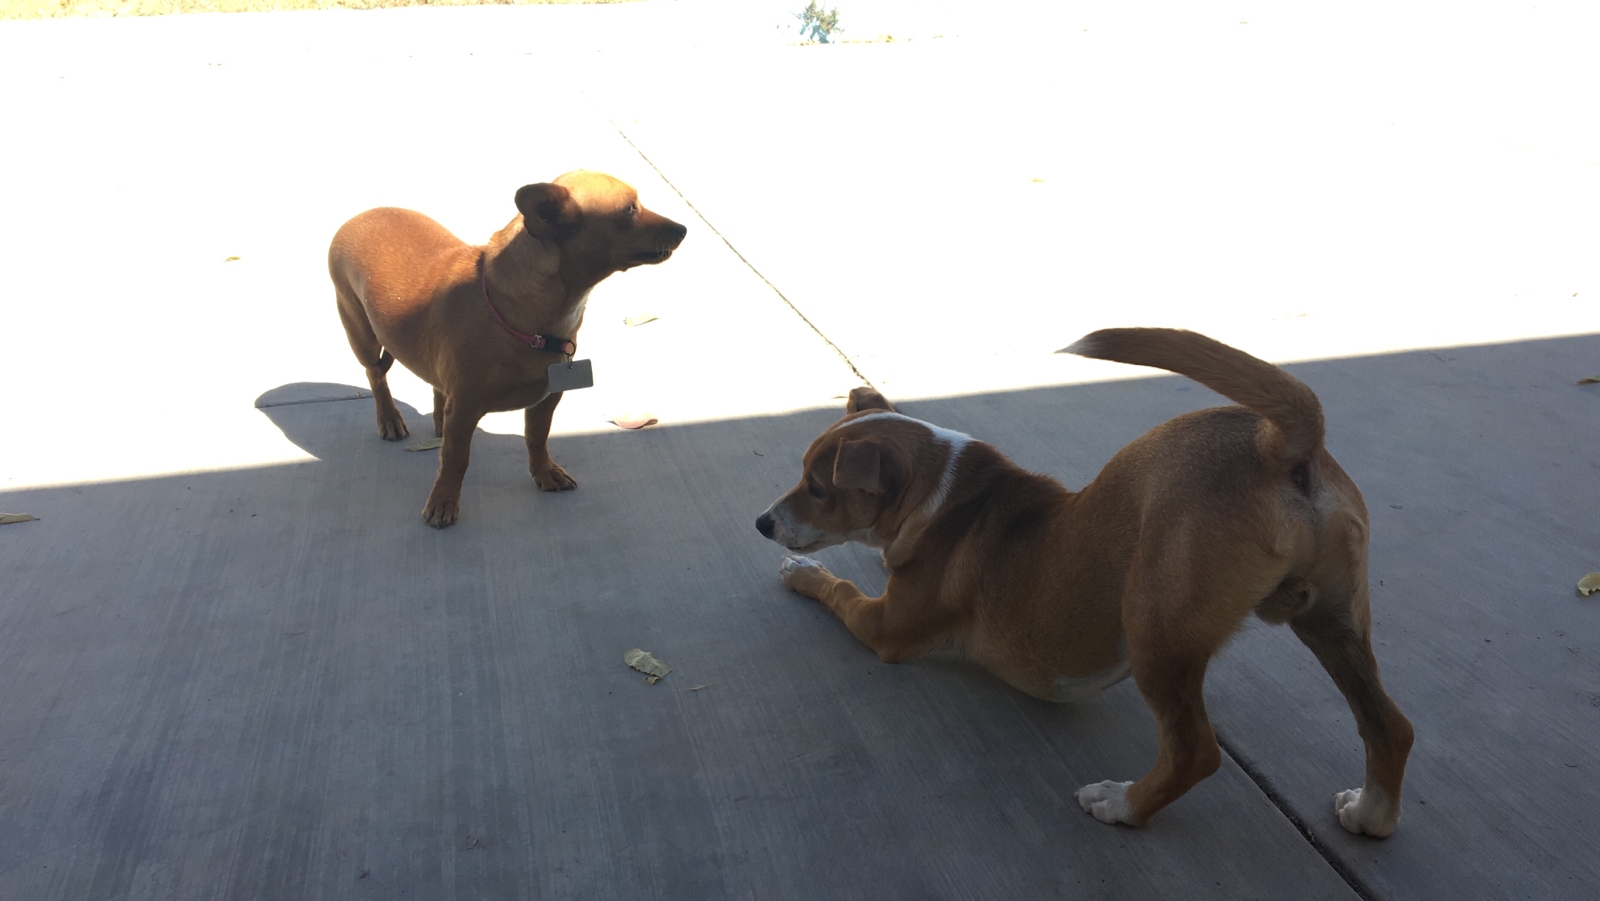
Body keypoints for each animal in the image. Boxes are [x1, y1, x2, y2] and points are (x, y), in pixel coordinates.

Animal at [329, 171, 686, 527]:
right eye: (629, 210)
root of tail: (362, 215)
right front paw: (444, 500)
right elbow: (456, 459)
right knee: (376, 376)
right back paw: (389, 418)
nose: (683, 229)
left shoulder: (547, 399)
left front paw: (544, 472)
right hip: (360, 333)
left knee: (436, 386)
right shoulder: (465, 409)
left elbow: (537, 438)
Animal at [755, 328, 1414, 835]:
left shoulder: (885, 628)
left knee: (1193, 752)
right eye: (802, 473)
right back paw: (1372, 815)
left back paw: (1122, 805)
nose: (762, 523)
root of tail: (1278, 444)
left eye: (818, 488)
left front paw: (806, 573)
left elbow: (839, 591)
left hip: (1154, 626)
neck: (943, 495)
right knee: (1389, 725)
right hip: (1332, 619)